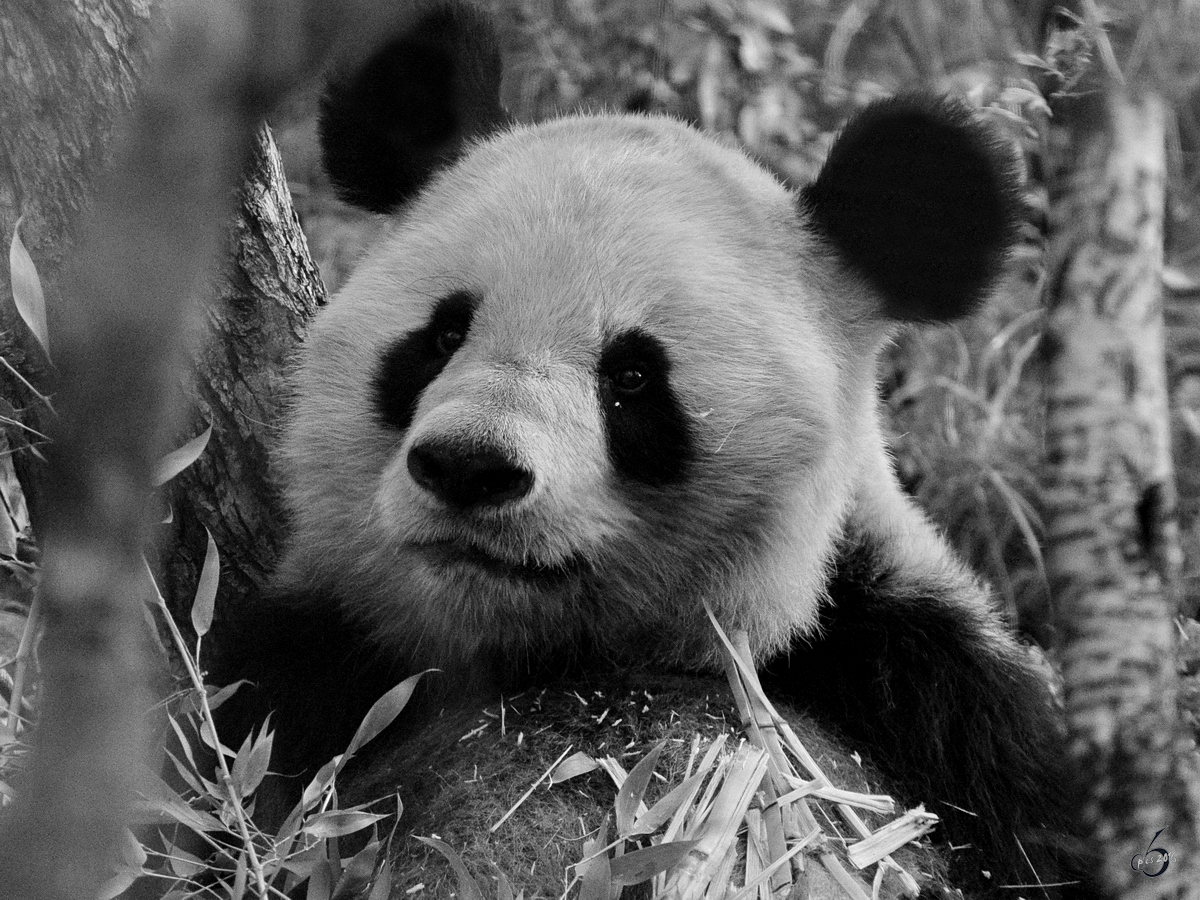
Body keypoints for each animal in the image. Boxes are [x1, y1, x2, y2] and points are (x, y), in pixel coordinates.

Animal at [211, 3, 1084, 897]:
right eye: (442, 335)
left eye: (632, 377)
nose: (469, 466)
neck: (548, 654)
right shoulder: (317, 664)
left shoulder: (927, 690)